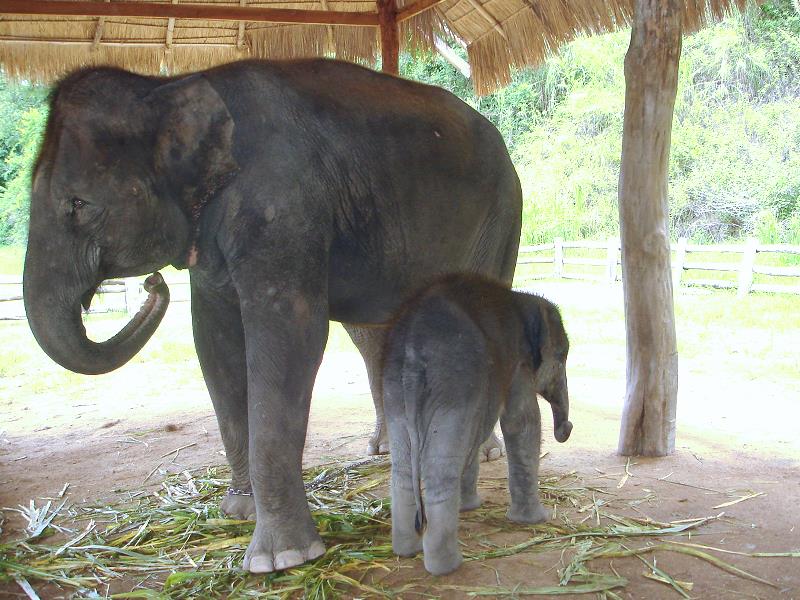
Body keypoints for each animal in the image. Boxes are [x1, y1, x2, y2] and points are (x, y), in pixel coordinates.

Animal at [23, 58, 522, 573]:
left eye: (78, 204)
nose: (152, 284)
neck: (163, 87)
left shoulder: (282, 208)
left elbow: (290, 337)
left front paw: (283, 557)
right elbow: (214, 342)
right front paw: (239, 512)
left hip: (502, 215)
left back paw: (479, 455)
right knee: (378, 335)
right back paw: (391, 452)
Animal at [382, 274, 571, 575]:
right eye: (563, 357)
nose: (566, 429)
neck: (522, 298)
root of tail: (412, 351)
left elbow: (479, 431)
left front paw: (469, 506)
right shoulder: (518, 361)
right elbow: (521, 423)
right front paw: (534, 520)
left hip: (394, 391)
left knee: (402, 469)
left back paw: (406, 550)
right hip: (454, 383)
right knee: (440, 471)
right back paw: (446, 566)